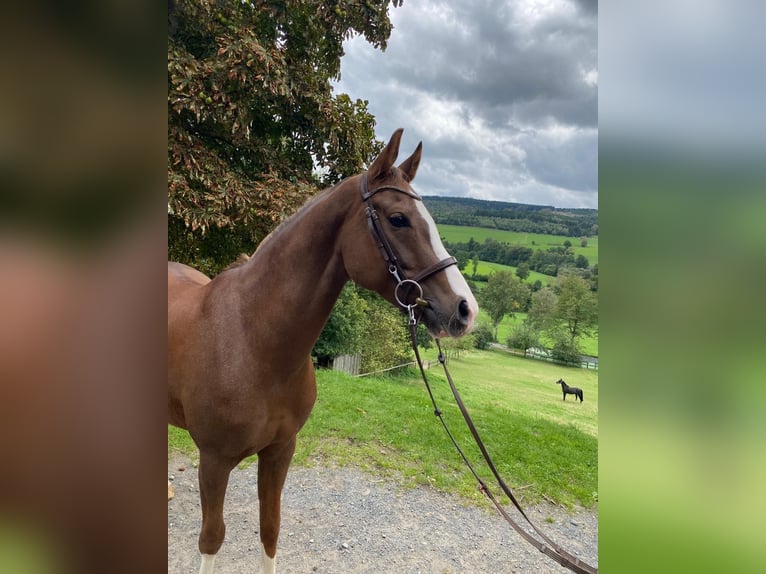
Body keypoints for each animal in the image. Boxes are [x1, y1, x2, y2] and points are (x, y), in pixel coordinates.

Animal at [168, 129, 479, 574]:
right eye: (398, 219)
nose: (465, 310)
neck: (252, 340)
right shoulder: (213, 461)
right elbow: (212, 540)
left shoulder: (280, 451)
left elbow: (270, 530)